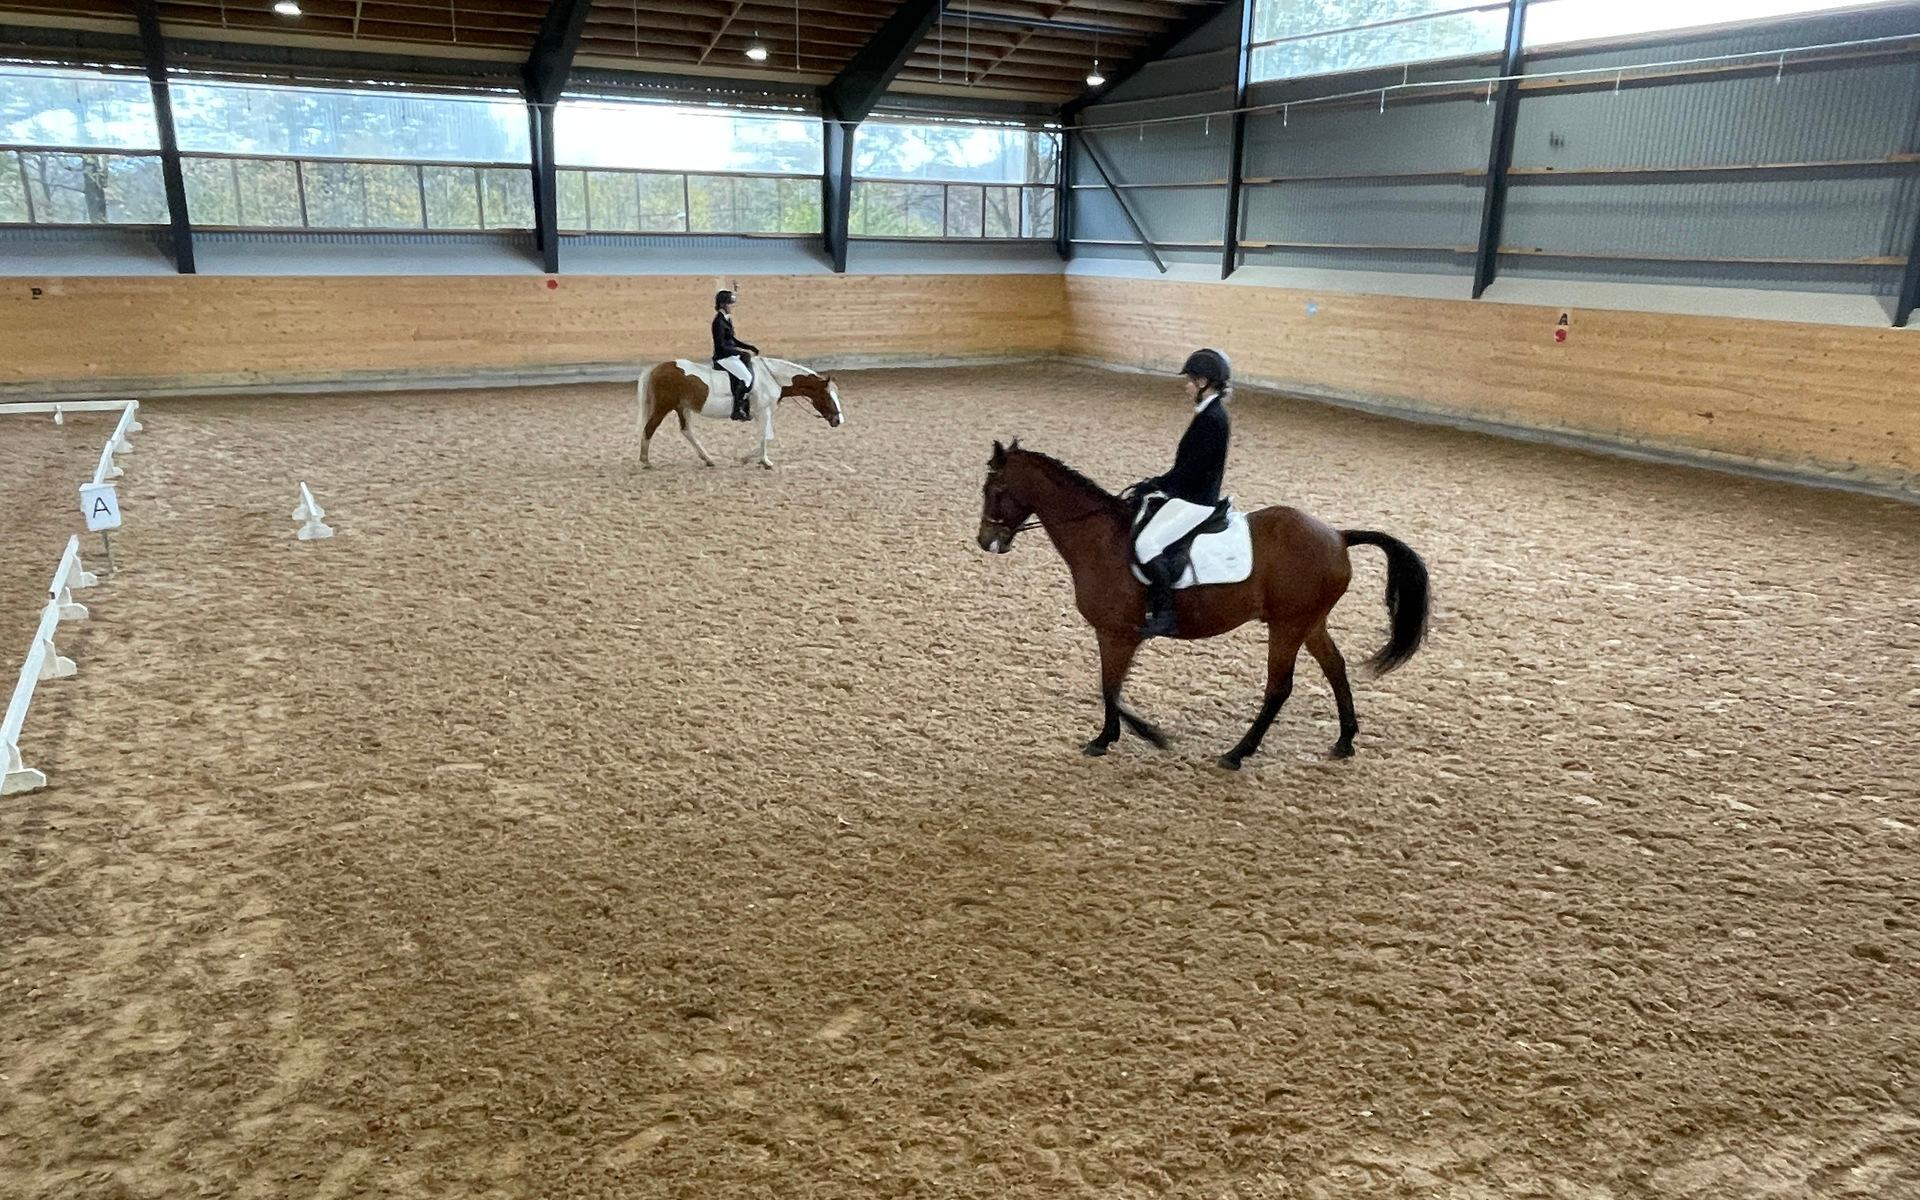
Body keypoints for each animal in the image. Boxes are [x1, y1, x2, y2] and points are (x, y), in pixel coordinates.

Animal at [637, 353, 840, 470]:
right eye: (828, 397)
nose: (838, 421)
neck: (772, 377)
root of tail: (658, 367)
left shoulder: (761, 413)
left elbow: (765, 437)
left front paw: (749, 459)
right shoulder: (764, 412)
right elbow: (766, 437)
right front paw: (763, 461)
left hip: (682, 407)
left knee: (686, 431)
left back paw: (708, 459)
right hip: (664, 406)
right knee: (650, 428)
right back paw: (645, 461)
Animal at [975, 439, 1428, 768]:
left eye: (995, 491)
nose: (985, 541)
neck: (1100, 540)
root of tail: (1338, 536)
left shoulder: (1118, 634)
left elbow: (1109, 688)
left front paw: (1136, 737)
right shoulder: (1116, 635)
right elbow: (1110, 688)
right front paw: (1117, 736)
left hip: (1287, 626)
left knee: (1279, 688)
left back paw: (1237, 754)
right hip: (1308, 622)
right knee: (1335, 668)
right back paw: (1344, 740)